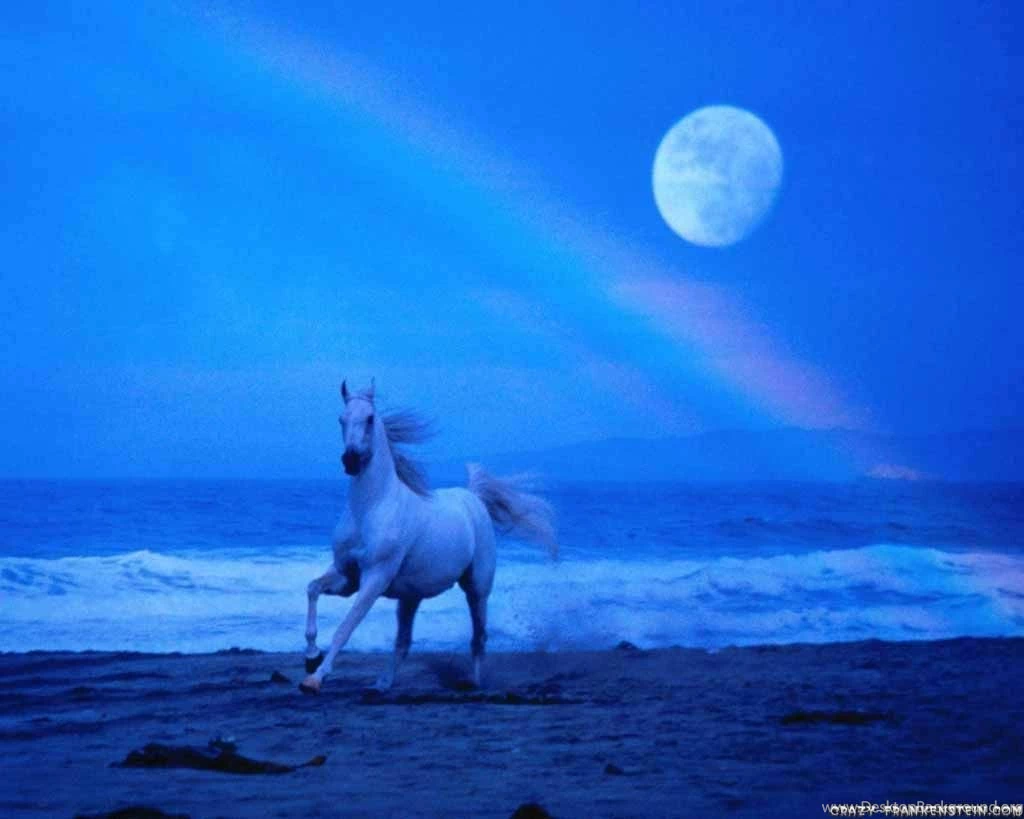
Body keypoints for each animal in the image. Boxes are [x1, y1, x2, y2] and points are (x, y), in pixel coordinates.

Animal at [300, 379, 557, 694]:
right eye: (341, 419)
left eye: (370, 418)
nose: (350, 460)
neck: (372, 507)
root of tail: (473, 497)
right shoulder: (347, 576)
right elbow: (312, 589)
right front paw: (311, 657)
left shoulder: (375, 578)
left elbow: (345, 627)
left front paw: (314, 678)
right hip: (410, 597)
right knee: (403, 643)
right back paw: (382, 684)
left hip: (477, 588)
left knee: (479, 637)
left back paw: (473, 682)